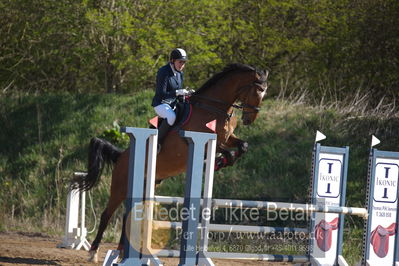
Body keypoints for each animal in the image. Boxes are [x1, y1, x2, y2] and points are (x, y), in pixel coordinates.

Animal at [73, 62, 270, 262]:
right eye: (257, 91)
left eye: (264, 93)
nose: (249, 119)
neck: (213, 108)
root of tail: (121, 156)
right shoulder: (202, 142)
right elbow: (227, 152)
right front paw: (220, 161)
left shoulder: (227, 138)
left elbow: (243, 146)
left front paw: (221, 162)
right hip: (120, 187)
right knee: (107, 214)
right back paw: (94, 252)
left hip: (144, 187)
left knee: (129, 215)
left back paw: (122, 252)